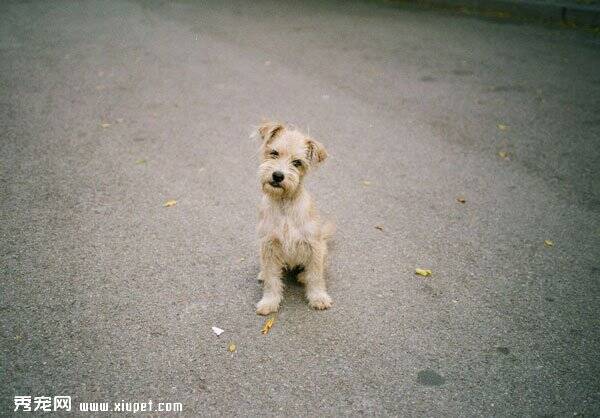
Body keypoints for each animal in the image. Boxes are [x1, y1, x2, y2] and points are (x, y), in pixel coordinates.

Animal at [255, 122, 336, 316]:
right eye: (274, 153)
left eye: (297, 162)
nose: (278, 176)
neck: (285, 204)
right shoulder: (269, 246)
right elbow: (272, 280)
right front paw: (269, 302)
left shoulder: (314, 246)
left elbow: (316, 277)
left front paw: (318, 297)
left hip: (323, 249)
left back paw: (303, 276)